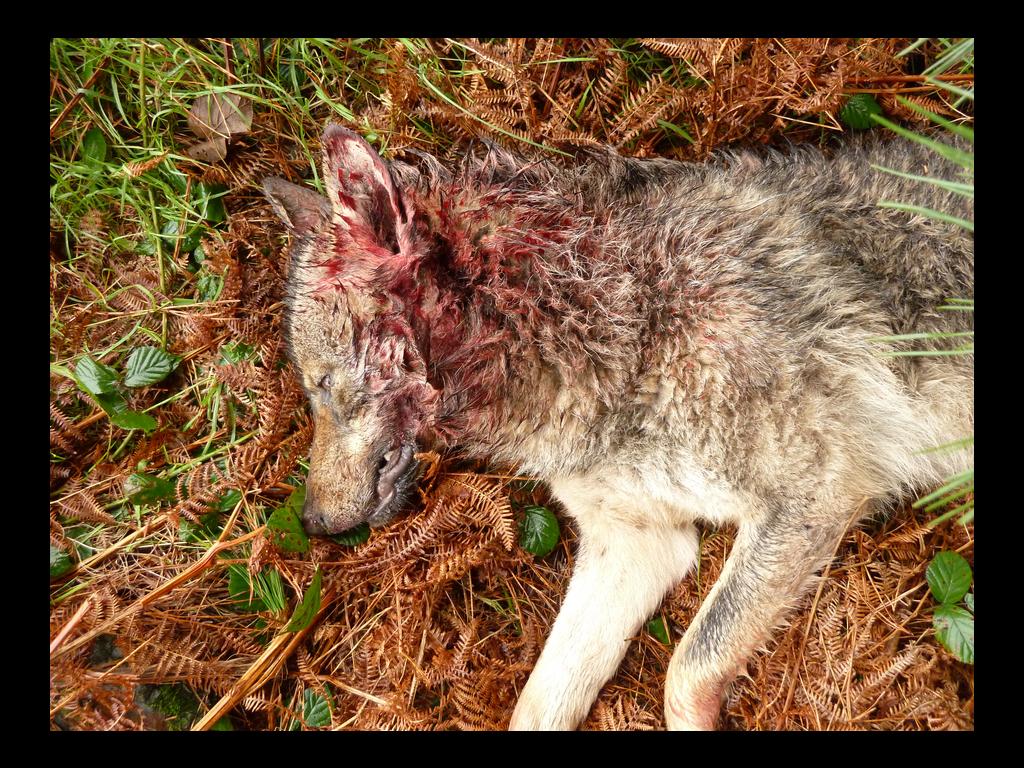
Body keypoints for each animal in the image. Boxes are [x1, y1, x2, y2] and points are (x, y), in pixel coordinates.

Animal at [262, 124, 973, 730]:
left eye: (322, 384)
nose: (313, 522)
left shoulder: (814, 494)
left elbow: (686, 670)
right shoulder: (637, 544)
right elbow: (535, 709)